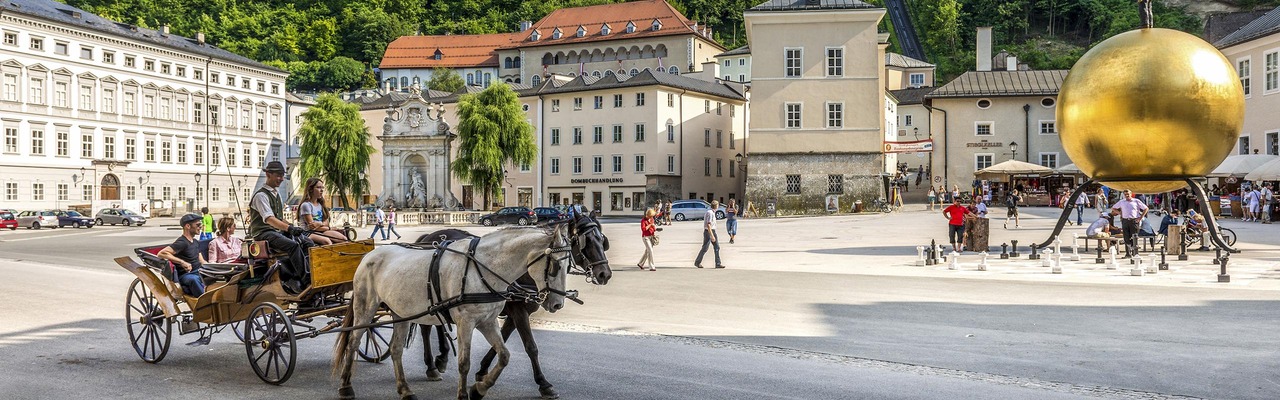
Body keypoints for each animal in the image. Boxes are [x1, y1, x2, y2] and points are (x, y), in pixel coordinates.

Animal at [332, 225, 573, 400]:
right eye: (555, 267)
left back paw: (405, 389)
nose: (557, 304)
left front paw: (479, 388)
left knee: (396, 349)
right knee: (353, 341)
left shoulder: (488, 321)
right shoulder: (467, 322)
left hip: (401, 311)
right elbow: (465, 363)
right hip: (365, 306)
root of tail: (370, 254)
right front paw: (465, 392)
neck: (483, 267)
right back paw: (345, 386)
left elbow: (504, 355)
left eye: (568, 266)